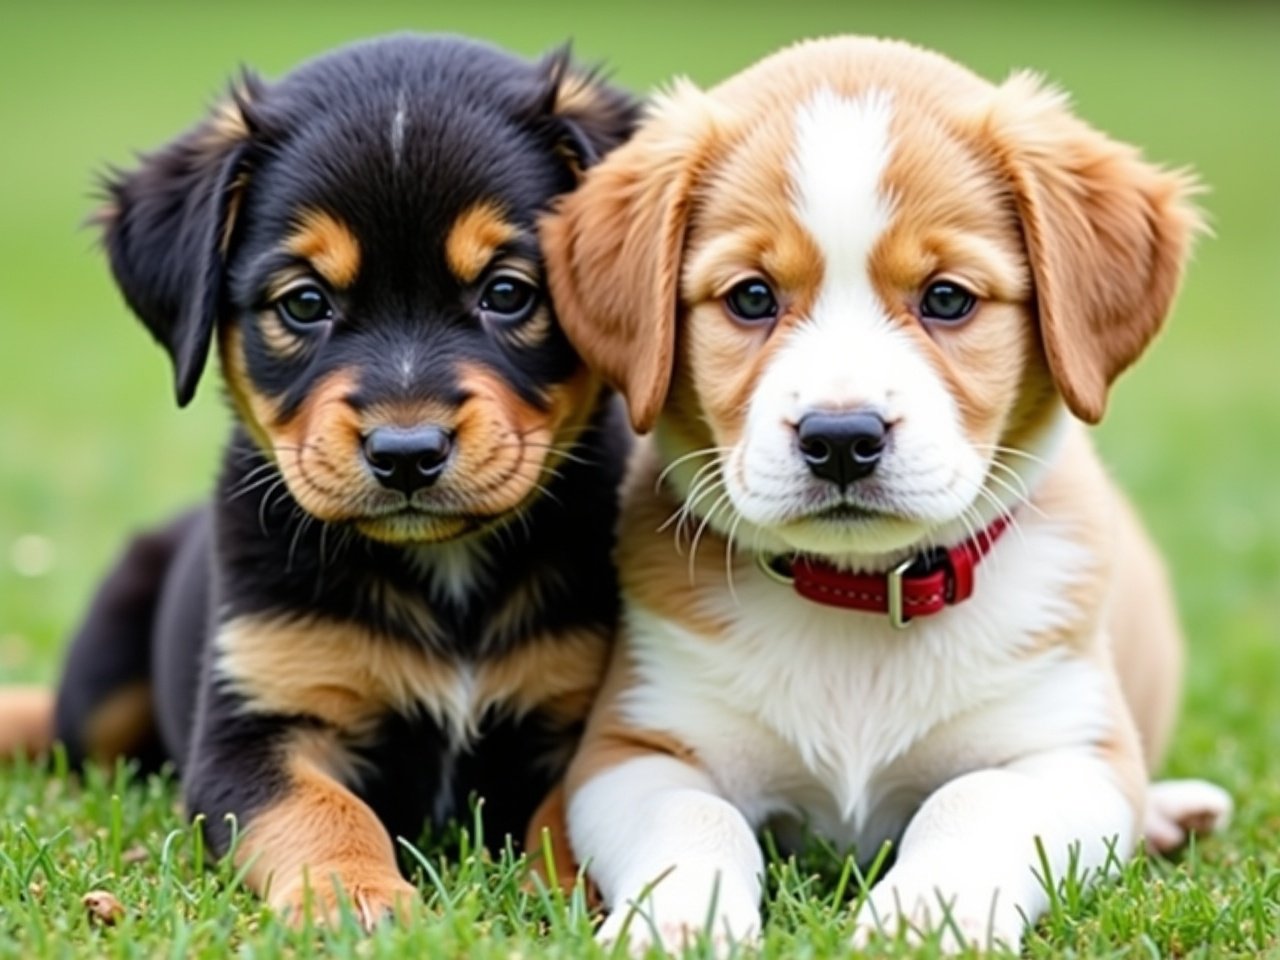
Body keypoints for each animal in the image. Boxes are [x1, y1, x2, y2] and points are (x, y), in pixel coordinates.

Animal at [0, 33, 634, 926]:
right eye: (304, 303)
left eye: (509, 292)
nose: (406, 453)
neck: (444, 570)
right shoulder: (257, 723)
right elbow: (321, 810)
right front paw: (362, 902)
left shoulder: (583, 709)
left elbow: (570, 814)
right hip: (104, 673)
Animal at [537, 35, 1228, 957]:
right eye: (752, 296)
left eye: (947, 298)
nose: (840, 439)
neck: (861, 603)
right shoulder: (635, 747)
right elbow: (693, 819)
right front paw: (675, 921)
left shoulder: (1071, 753)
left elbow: (975, 798)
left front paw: (926, 913)